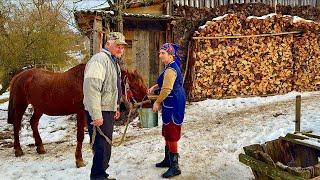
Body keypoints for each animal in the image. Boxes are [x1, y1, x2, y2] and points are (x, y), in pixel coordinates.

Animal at [7, 63, 148, 167]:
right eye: (135, 86)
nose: (148, 102)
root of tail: (18, 76)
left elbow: (93, 133)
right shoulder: (81, 113)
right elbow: (80, 136)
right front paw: (79, 159)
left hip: (39, 108)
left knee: (33, 123)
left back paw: (40, 147)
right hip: (20, 106)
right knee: (17, 125)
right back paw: (18, 150)